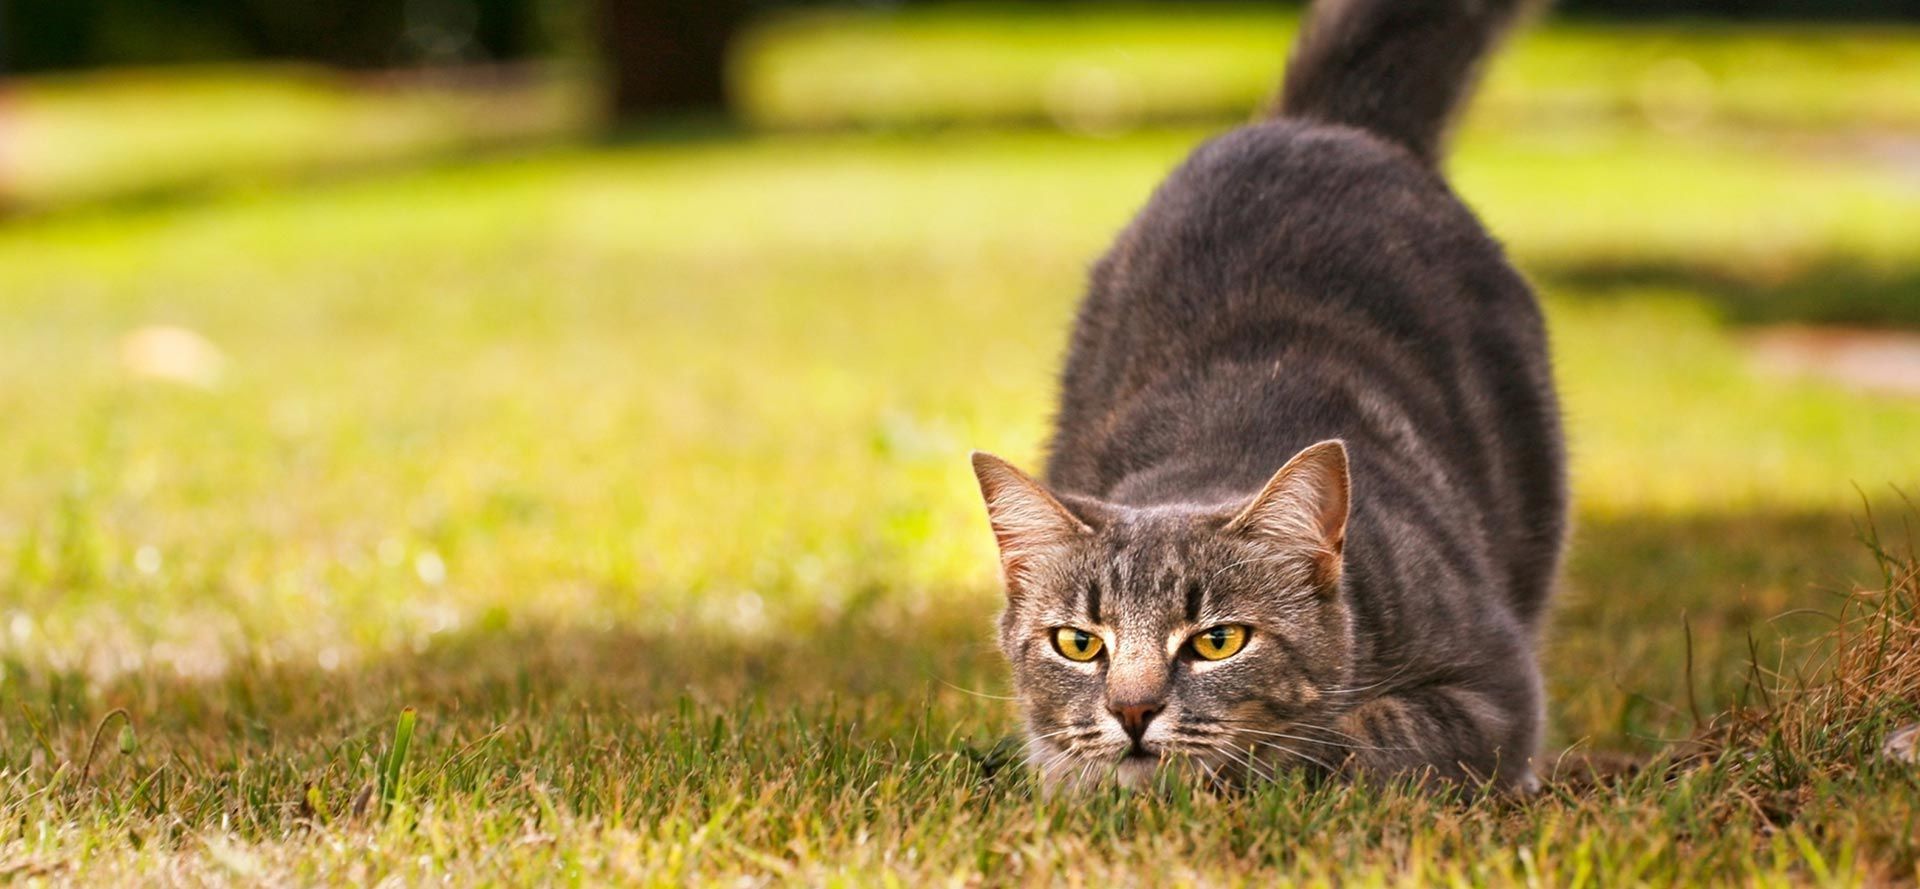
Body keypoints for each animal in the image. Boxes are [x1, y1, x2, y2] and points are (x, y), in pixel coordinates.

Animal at [967, 0, 1566, 794]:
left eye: (1219, 641)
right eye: (1079, 642)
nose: (1131, 710)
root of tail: (1317, 124)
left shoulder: (1495, 690)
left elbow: (1355, 736)